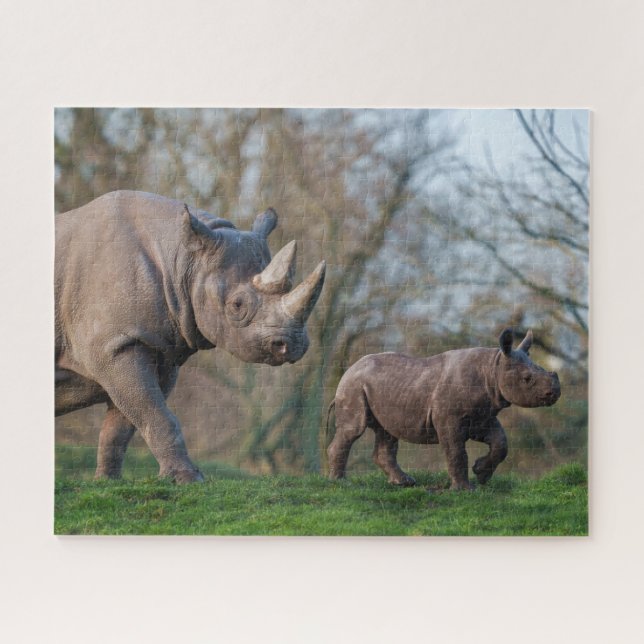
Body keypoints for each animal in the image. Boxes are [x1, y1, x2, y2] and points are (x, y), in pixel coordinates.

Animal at [56, 190, 325, 483]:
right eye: (237, 306)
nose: (293, 345)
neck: (182, 259)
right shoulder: (115, 346)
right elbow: (156, 414)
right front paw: (188, 479)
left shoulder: (155, 348)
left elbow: (125, 423)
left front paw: (107, 482)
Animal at [327, 329, 561, 490]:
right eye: (527, 379)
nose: (555, 392)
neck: (493, 367)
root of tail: (350, 369)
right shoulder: (449, 418)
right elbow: (456, 451)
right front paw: (465, 490)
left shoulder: (482, 416)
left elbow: (501, 443)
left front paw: (481, 474)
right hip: (353, 385)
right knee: (353, 430)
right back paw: (339, 483)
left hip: (380, 387)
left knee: (386, 432)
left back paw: (404, 483)